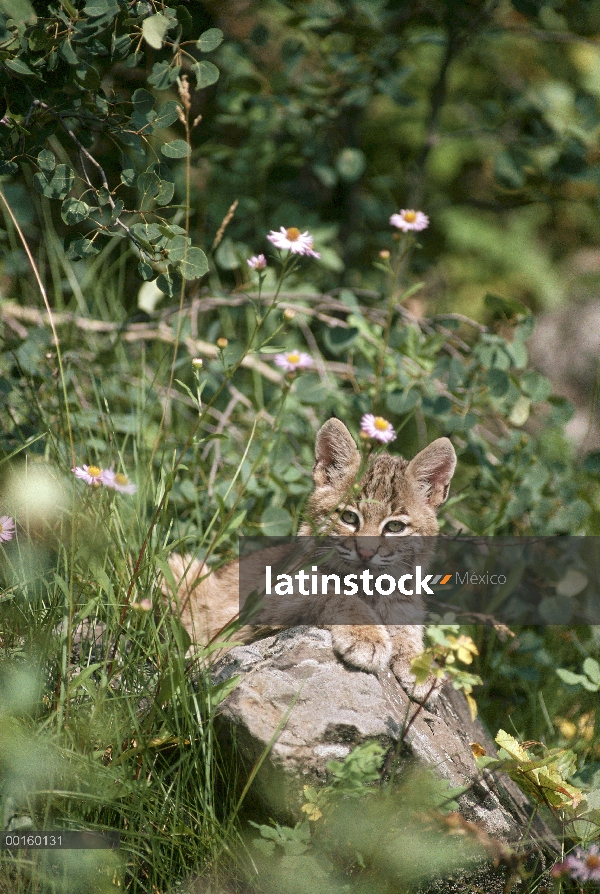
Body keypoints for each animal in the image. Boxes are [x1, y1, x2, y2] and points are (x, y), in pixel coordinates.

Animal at [164, 422, 454, 708]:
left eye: (394, 527)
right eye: (349, 517)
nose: (365, 553)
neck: (370, 586)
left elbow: (408, 628)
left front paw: (421, 668)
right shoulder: (267, 604)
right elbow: (334, 592)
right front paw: (366, 636)